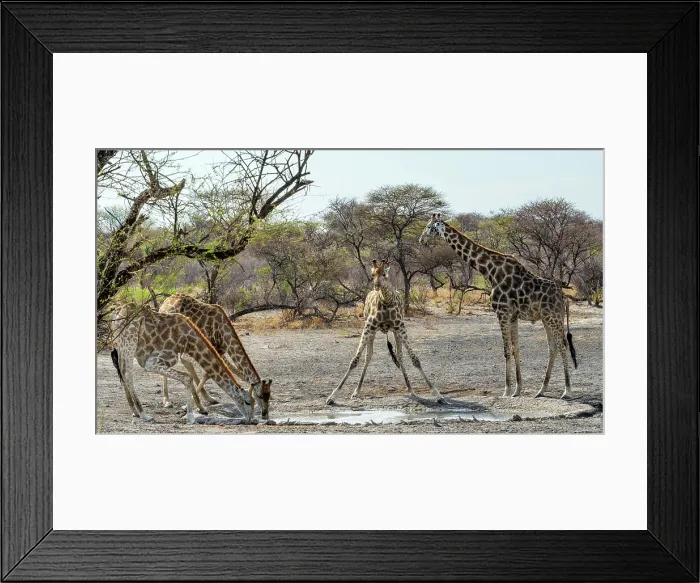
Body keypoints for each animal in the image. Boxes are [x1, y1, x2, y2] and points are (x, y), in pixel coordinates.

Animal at [107, 302, 253, 422]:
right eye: (247, 402)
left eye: (254, 402)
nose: (251, 419)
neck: (188, 340)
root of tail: (116, 313)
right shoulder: (154, 361)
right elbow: (187, 377)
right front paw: (190, 415)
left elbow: (188, 376)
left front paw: (198, 410)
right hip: (129, 343)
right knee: (127, 373)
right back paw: (144, 414)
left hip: (119, 345)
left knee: (122, 372)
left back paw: (135, 411)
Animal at [326, 259, 445, 405]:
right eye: (372, 274)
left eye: (384, 274)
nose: (377, 285)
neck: (387, 300)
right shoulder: (368, 327)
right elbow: (354, 360)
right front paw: (332, 396)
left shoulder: (401, 327)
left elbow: (415, 359)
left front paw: (438, 394)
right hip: (371, 331)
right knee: (368, 356)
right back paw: (357, 391)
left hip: (396, 332)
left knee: (400, 355)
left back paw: (410, 390)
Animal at [419, 213, 577, 399]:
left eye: (429, 227)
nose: (421, 239)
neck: (490, 271)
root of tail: (564, 297)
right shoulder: (513, 315)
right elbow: (516, 348)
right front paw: (517, 390)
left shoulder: (502, 312)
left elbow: (506, 350)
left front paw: (506, 390)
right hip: (547, 318)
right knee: (552, 346)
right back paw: (541, 390)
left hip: (553, 317)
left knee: (562, 345)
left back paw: (567, 391)